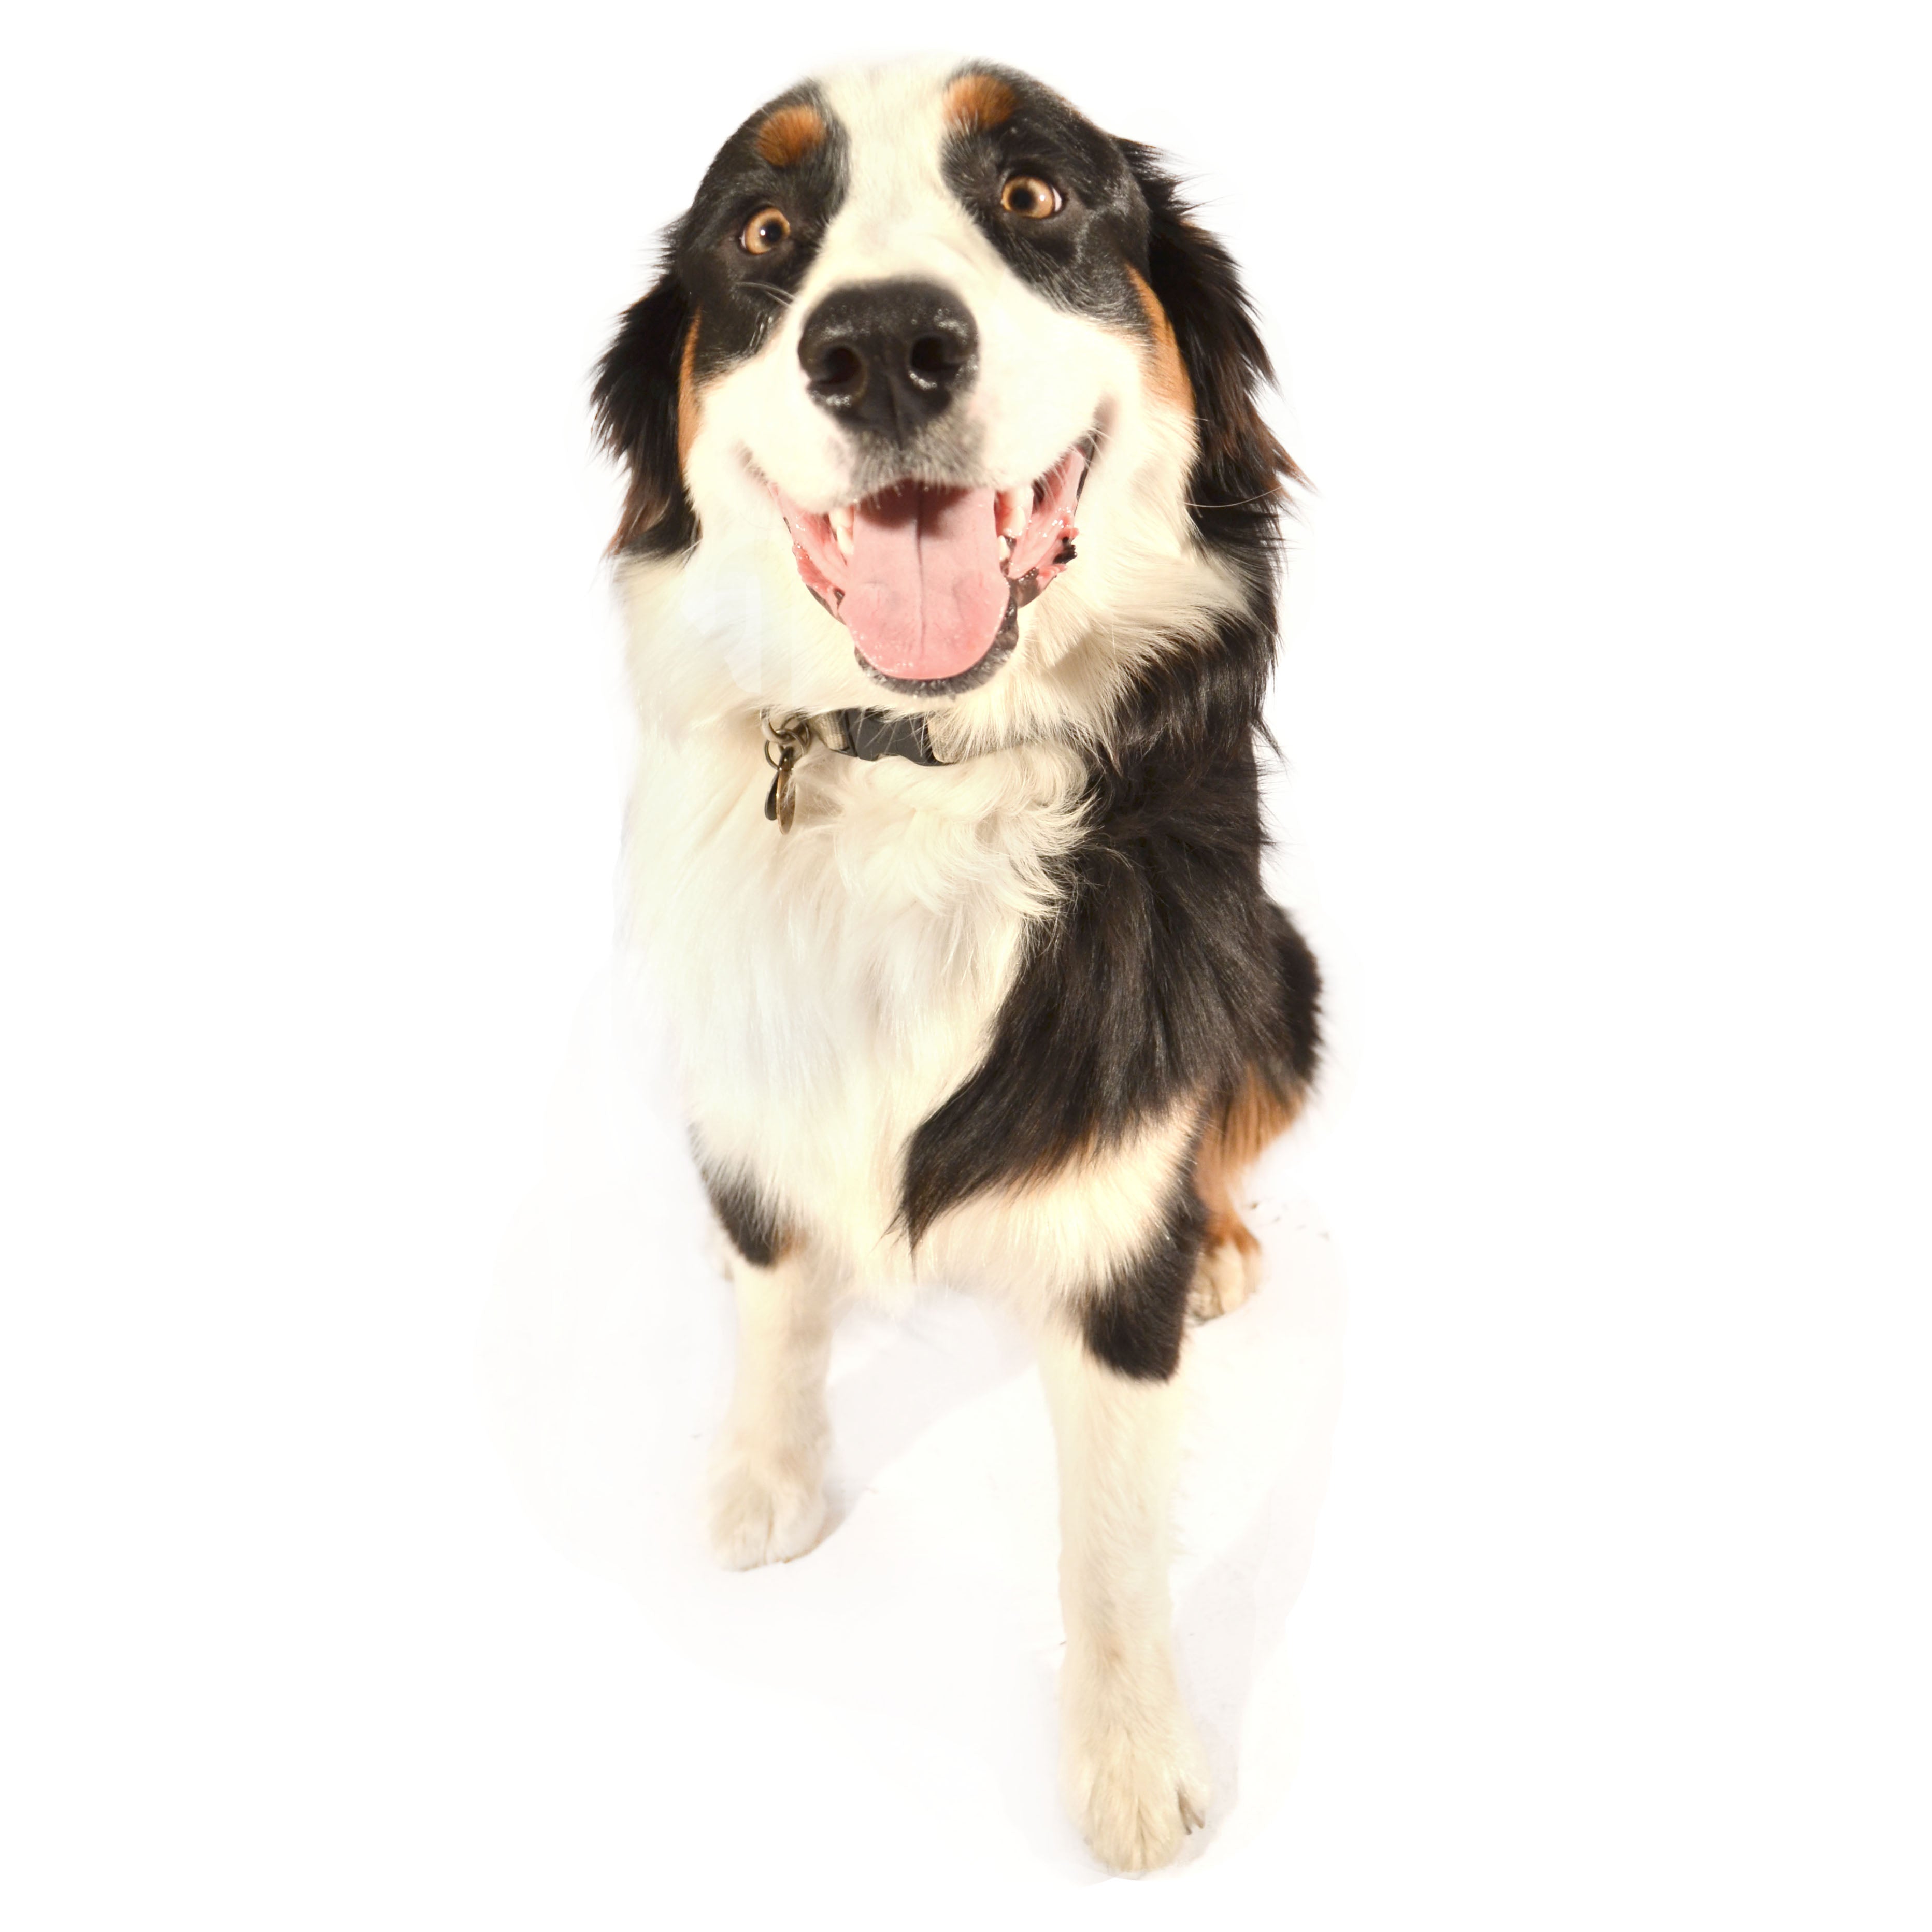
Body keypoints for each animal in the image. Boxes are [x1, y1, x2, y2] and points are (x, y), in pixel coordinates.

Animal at [598, 60, 1329, 1870]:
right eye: (764, 232)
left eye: (1034, 198)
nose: (879, 345)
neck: (919, 772)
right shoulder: (745, 1056)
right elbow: (780, 1288)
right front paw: (770, 1472)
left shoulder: (1121, 1177)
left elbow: (1114, 1530)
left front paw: (1131, 1759)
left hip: (1284, 981)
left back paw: (1218, 1241)